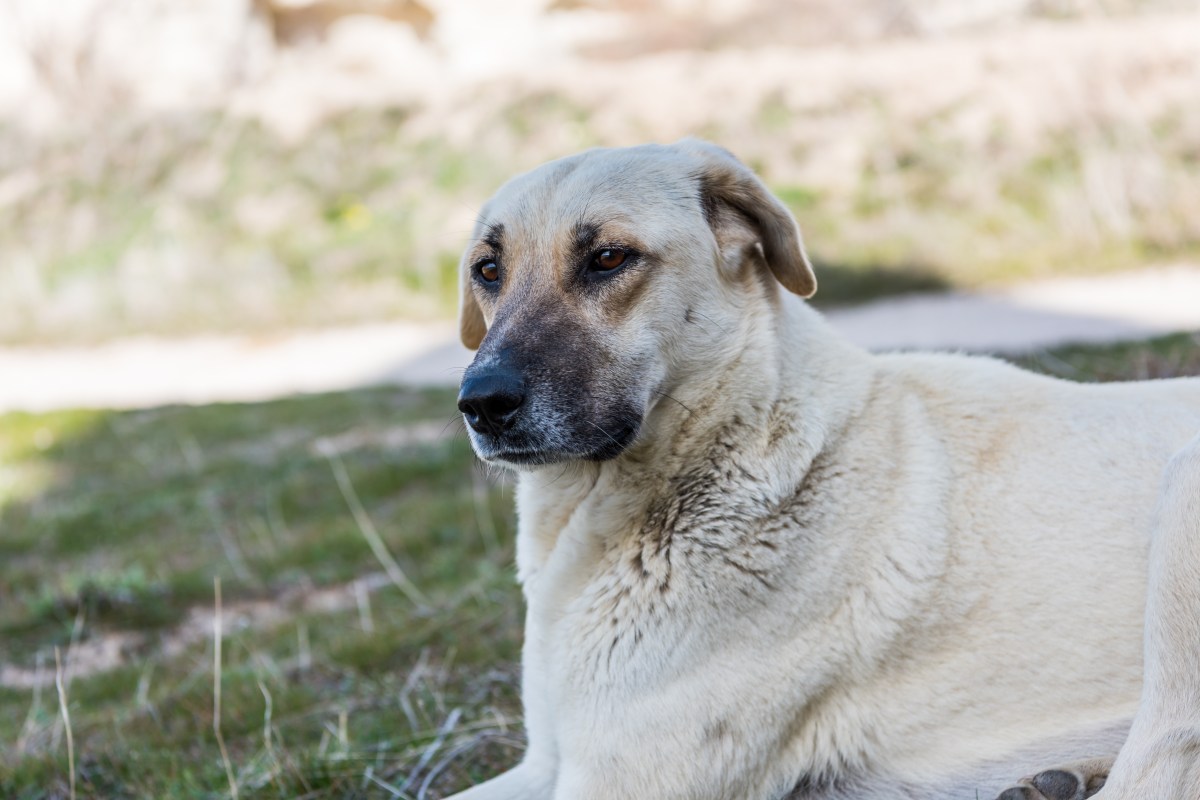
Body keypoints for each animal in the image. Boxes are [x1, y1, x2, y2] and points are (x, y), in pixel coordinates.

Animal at [444, 140, 1200, 796]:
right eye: (488, 271)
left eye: (607, 257)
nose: (480, 403)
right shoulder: (545, 764)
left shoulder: (617, 779)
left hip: (1182, 496)